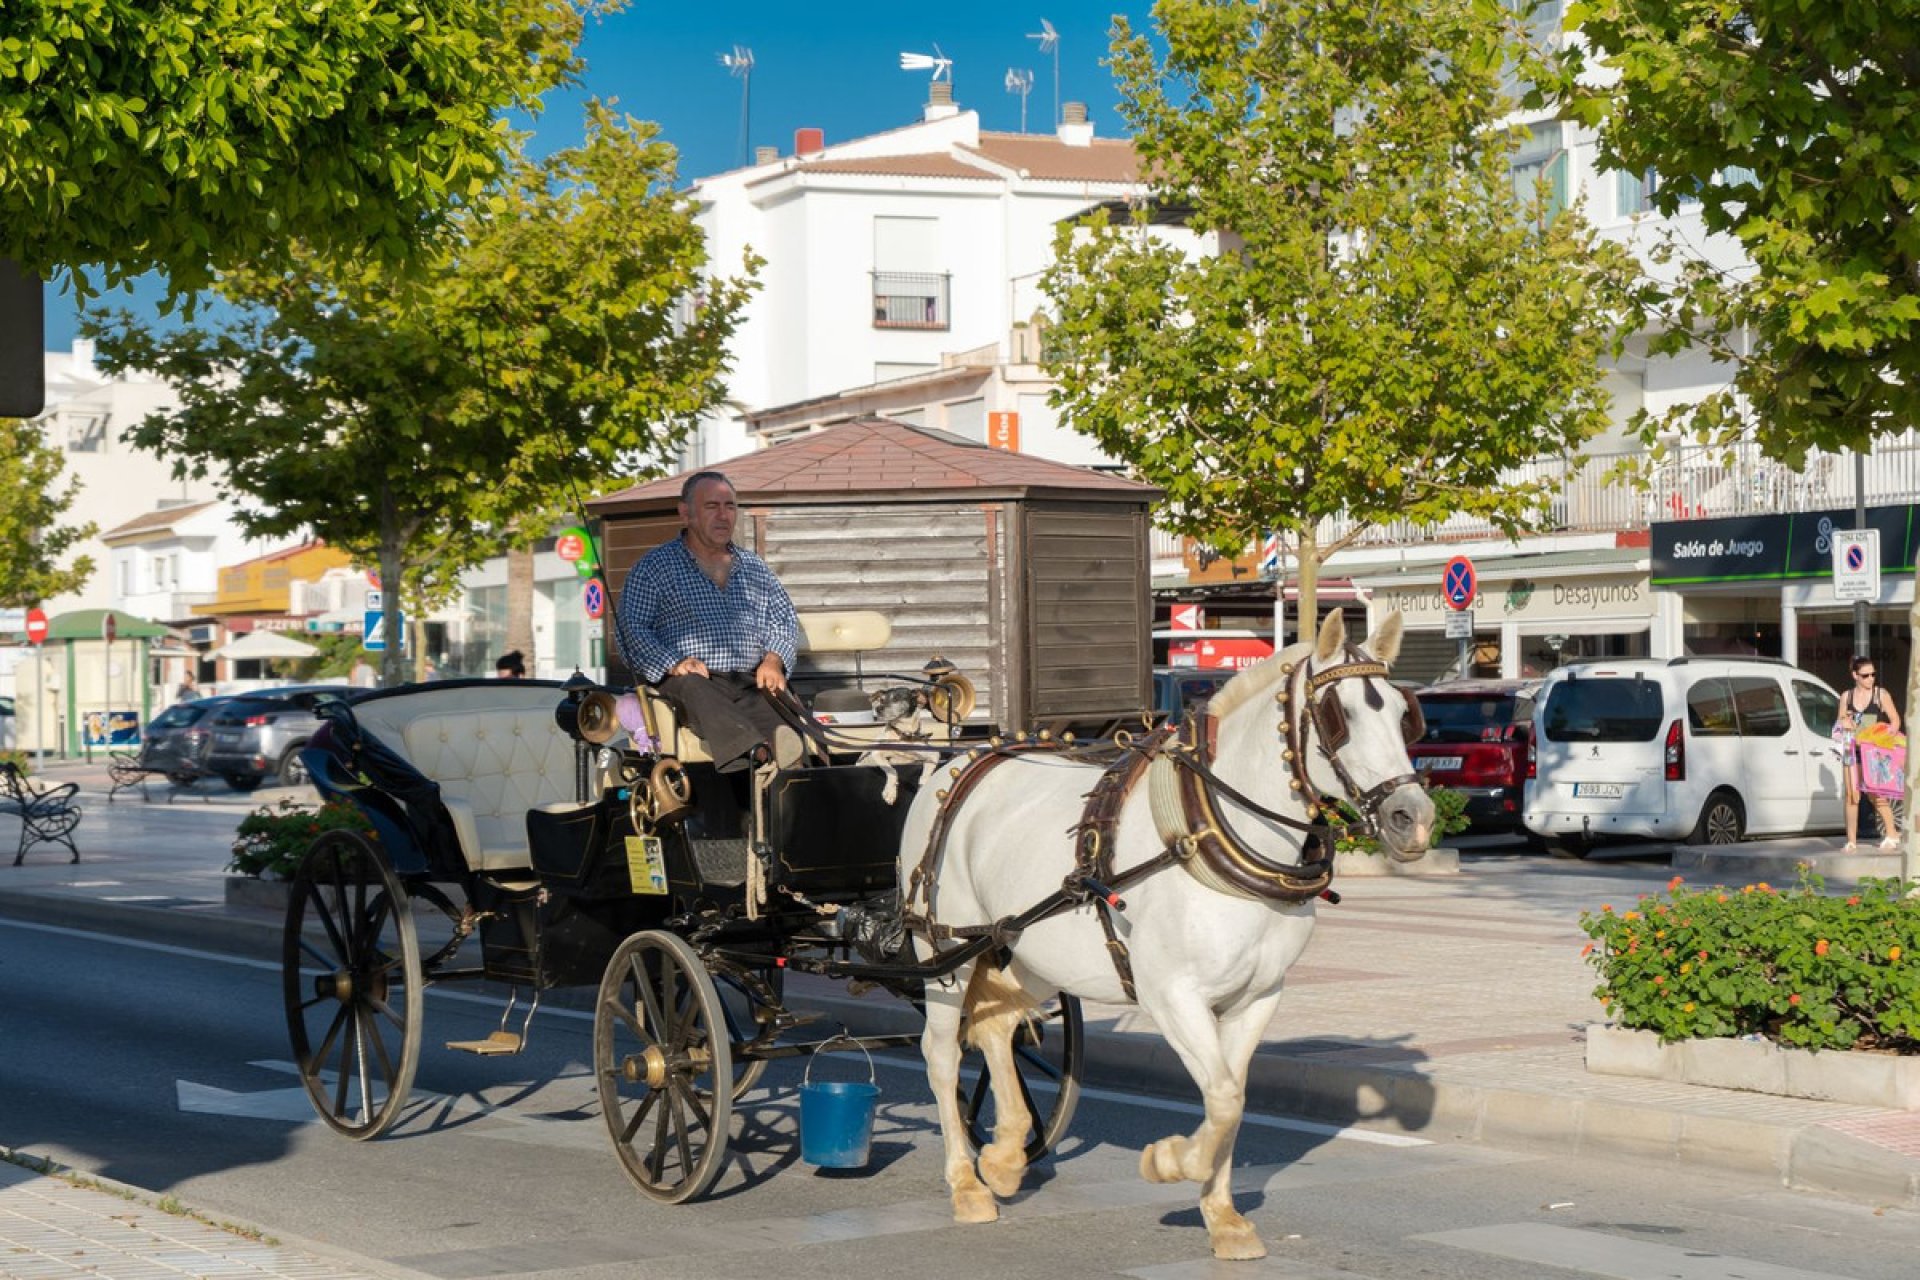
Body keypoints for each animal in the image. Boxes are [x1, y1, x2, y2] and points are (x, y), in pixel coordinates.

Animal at [906, 610, 1436, 1258]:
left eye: (1404, 712)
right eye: (1342, 715)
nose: (1414, 818)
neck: (1210, 834)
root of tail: (959, 761)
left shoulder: (1257, 997)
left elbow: (1230, 1097)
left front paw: (1223, 1216)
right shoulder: (1172, 995)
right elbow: (1224, 1099)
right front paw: (1172, 1162)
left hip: (1025, 945)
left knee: (996, 1026)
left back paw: (1006, 1155)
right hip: (944, 949)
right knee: (941, 1053)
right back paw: (966, 1183)